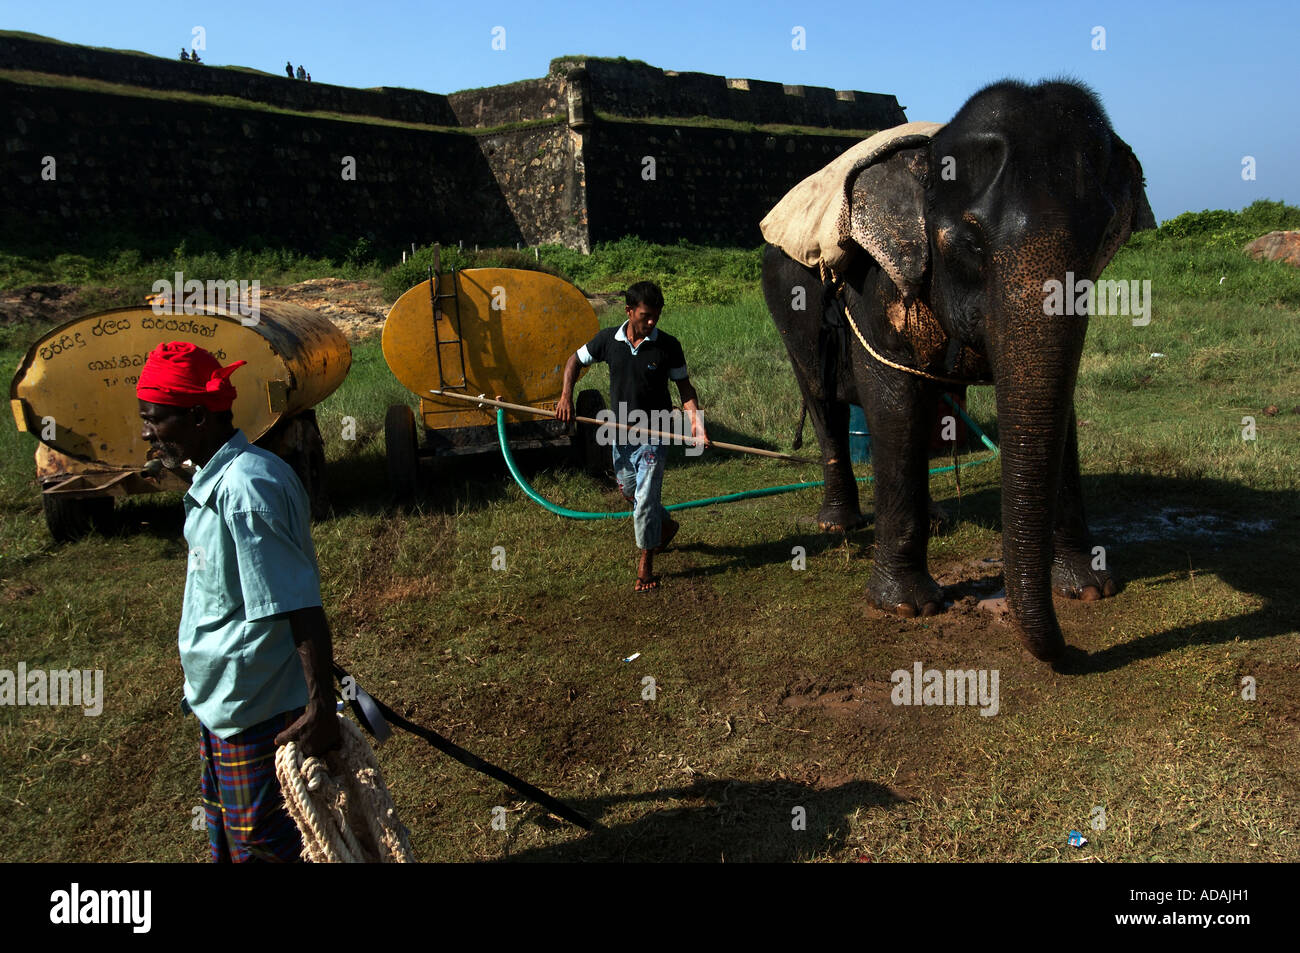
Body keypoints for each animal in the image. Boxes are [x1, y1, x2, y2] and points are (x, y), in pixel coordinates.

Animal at [759, 79, 1159, 660]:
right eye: (969, 245)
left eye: (1099, 240)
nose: (1075, 653)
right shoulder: (875, 283)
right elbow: (893, 399)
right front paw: (909, 607)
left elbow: (1056, 408)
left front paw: (1090, 588)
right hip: (784, 305)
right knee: (825, 402)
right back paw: (840, 525)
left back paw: (937, 520)